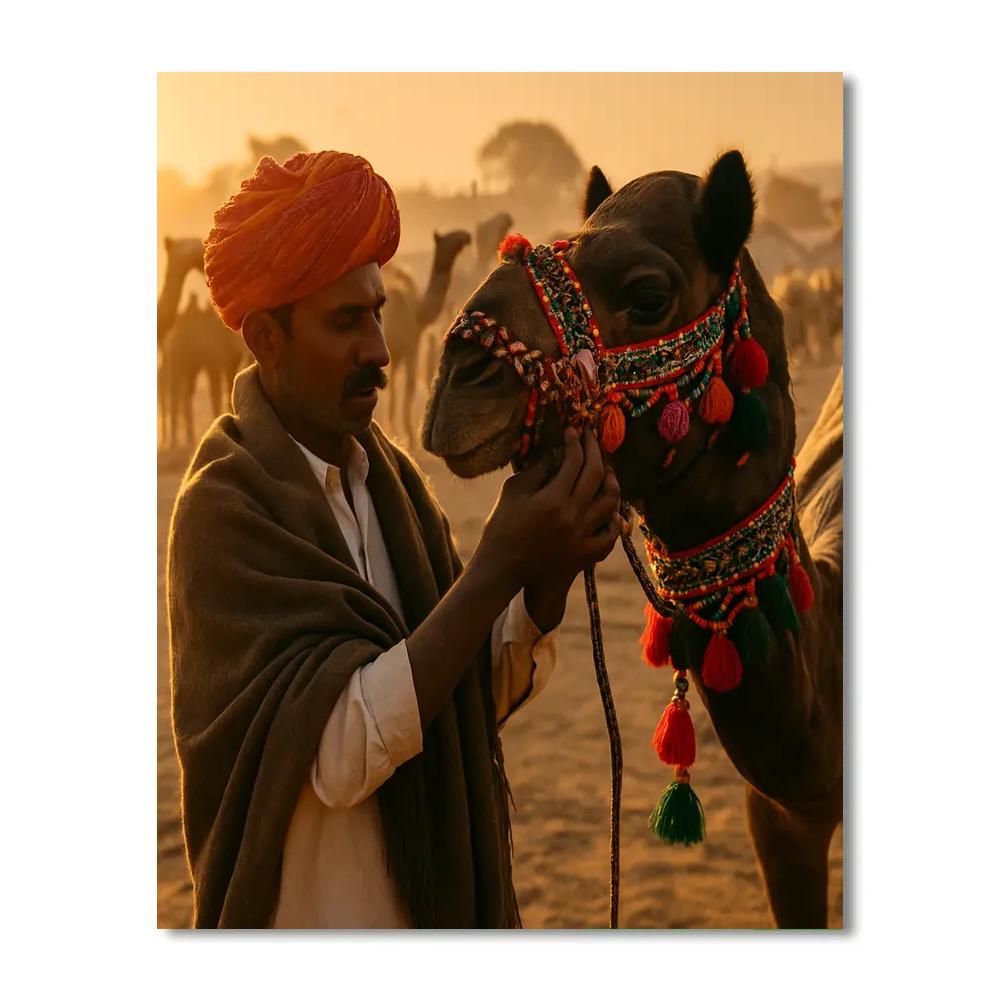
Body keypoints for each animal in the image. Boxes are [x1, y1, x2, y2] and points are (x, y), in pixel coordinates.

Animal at [380, 228, 471, 445]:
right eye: (450, 237)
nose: (466, 236)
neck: (417, 313)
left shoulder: (398, 351)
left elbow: (394, 392)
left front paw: (393, 431)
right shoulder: (411, 345)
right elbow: (409, 388)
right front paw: (409, 437)